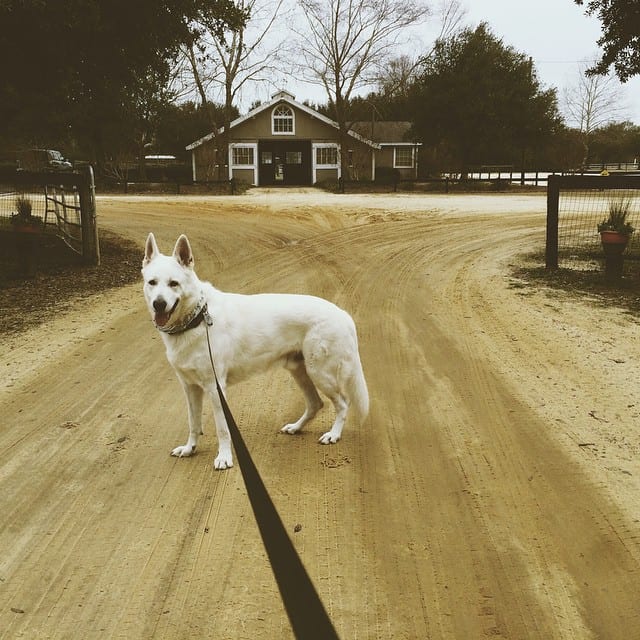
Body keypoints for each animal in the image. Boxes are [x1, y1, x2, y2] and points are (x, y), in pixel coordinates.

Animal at [142, 232, 368, 468]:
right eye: (152, 283)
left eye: (174, 283)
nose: (159, 304)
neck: (197, 318)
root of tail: (343, 313)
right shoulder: (190, 388)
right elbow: (193, 423)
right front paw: (189, 449)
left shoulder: (215, 388)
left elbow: (222, 429)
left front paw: (224, 457)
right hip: (301, 372)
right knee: (316, 404)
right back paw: (296, 428)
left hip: (320, 374)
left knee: (343, 404)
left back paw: (333, 434)